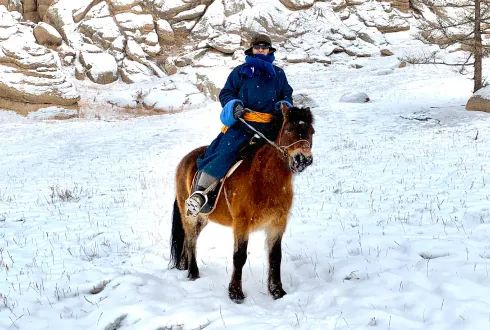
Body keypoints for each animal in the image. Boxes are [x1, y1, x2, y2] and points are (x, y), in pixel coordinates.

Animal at [168, 104, 314, 302]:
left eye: (311, 132)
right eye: (289, 129)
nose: (303, 159)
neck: (264, 178)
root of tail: (185, 160)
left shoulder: (277, 223)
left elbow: (275, 257)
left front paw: (277, 291)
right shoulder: (241, 224)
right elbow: (239, 256)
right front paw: (235, 292)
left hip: (203, 219)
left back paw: (185, 265)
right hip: (189, 215)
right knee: (190, 240)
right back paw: (193, 273)